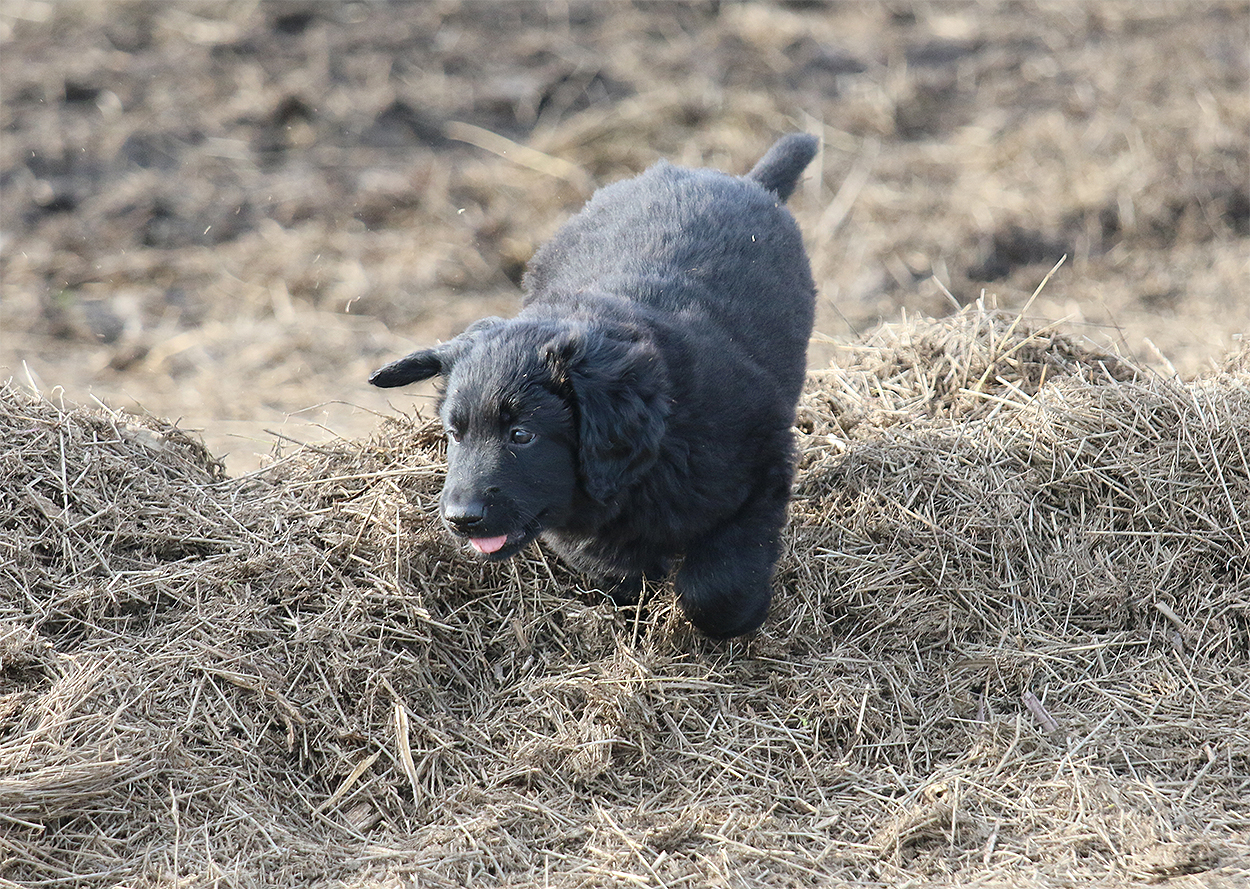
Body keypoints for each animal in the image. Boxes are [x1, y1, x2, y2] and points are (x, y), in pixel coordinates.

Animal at [371, 133, 819, 638]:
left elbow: (720, 579)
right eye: (454, 434)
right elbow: (610, 565)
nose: (461, 519)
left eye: (521, 435)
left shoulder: (762, 461)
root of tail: (740, 180)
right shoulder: (581, 527)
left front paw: (735, 618)